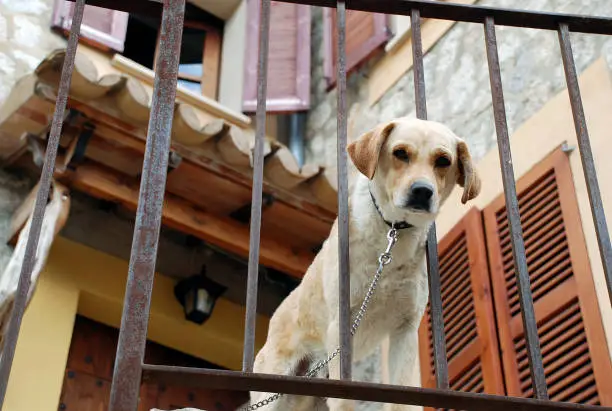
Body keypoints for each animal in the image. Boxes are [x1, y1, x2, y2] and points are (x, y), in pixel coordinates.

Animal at [251, 117, 480, 410]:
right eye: (400, 153)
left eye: (443, 160)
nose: (422, 191)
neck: (393, 232)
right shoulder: (341, 325)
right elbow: (344, 399)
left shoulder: (405, 330)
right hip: (274, 392)